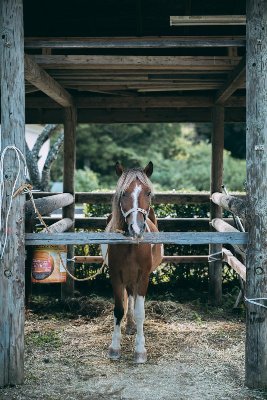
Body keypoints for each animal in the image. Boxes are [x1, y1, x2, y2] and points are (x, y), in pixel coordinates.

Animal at [102, 161, 163, 364]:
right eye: (123, 193)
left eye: (148, 192)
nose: (136, 228)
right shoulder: (115, 276)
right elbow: (119, 309)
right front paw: (115, 348)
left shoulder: (143, 277)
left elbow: (140, 311)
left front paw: (140, 350)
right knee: (128, 297)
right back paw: (129, 326)